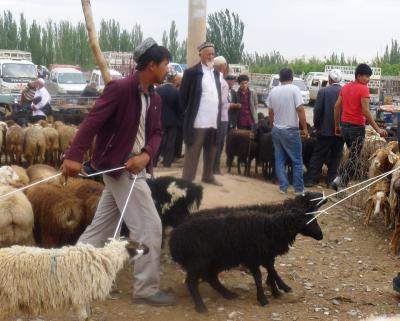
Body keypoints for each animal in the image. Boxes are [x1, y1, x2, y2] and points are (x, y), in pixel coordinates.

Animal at [0, 238, 148, 320]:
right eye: (138, 245)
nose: (148, 248)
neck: (106, 258)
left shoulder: (83, 296)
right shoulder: (79, 296)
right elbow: (83, 317)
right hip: (4, 300)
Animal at [168, 191, 324, 312]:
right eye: (310, 220)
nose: (321, 236)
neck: (270, 226)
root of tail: (175, 237)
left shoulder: (264, 254)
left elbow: (271, 270)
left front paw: (276, 289)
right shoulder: (254, 256)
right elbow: (262, 274)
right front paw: (267, 296)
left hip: (216, 260)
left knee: (211, 277)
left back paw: (228, 294)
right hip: (200, 260)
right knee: (192, 281)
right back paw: (201, 307)